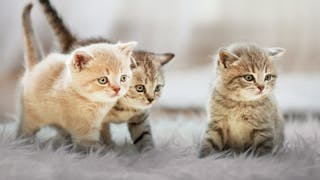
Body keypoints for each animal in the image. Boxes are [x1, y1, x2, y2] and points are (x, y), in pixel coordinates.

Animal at [18, 2, 136, 150]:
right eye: (103, 80)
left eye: (123, 78)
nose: (117, 89)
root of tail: (35, 67)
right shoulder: (84, 133)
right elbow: (92, 146)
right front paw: (108, 152)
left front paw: (111, 145)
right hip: (32, 114)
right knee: (25, 128)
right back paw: (22, 141)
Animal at [36, 0, 174, 152]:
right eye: (140, 88)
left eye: (158, 88)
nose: (151, 100)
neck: (125, 107)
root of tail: (74, 42)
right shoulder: (97, 118)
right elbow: (103, 136)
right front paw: (107, 152)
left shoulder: (140, 118)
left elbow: (144, 136)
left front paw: (150, 154)